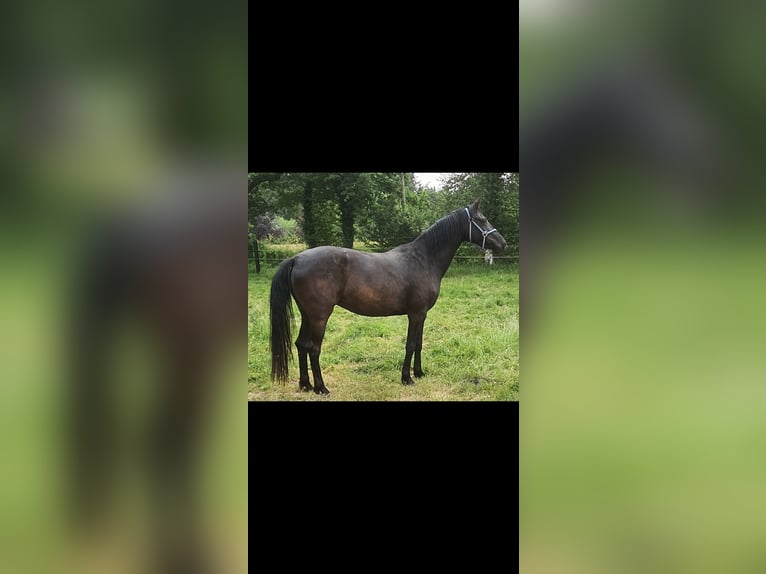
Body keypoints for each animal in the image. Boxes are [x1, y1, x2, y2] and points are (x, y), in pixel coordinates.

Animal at [270, 199, 510, 396]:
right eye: (482, 220)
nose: (503, 243)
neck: (424, 259)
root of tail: (297, 258)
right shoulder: (415, 313)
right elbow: (410, 344)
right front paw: (407, 378)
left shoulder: (422, 315)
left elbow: (419, 343)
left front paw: (419, 373)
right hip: (320, 316)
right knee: (313, 348)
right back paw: (321, 388)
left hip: (307, 315)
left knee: (301, 344)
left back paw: (305, 385)